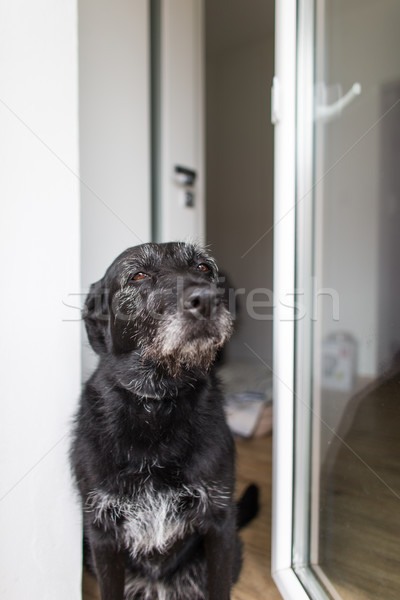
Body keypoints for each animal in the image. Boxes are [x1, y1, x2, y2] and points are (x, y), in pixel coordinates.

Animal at [70, 241, 258, 596]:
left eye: (203, 267)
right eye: (138, 275)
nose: (206, 300)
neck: (156, 403)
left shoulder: (219, 522)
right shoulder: (102, 534)